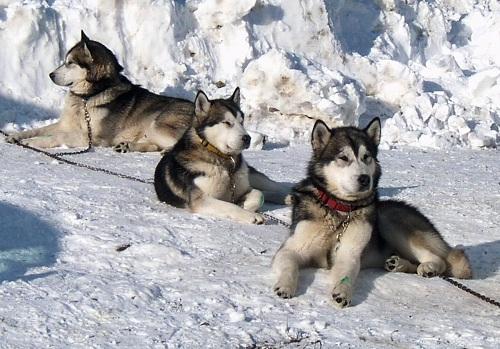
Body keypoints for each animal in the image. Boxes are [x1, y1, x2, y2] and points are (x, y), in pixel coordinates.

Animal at [8, 31, 195, 152]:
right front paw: (16, 136)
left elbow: (58, 137)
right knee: (154, 146)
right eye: (65, 61)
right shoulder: (64, 125)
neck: (87, 97)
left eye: (70, 63)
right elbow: (38, 129)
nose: (50, 75)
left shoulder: (92, 138)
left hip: (157, 125)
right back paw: (127, 146)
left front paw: (33, 142)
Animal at [154, 87, 292, 223]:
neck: (223, 161)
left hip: (251, 175)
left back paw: (289, 196)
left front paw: (245, 204)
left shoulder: (243, 188)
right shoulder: (201, 200)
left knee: (273, 187)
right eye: (227, 123)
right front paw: (249, 214)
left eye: (242, 122)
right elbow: (231, 205)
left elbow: (258, 195)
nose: (248, 138)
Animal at [272, 117, 470, 308]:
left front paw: (342, 292)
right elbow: (289, 267)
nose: (364, 179)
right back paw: (398, 264)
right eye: (343, 157)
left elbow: (346, 274)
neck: (340, 210)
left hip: (389, 220)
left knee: (440, 260)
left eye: (366, 157)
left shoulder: (349, 253)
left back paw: (429, 267)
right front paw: (285, 286)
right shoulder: (291, 249)